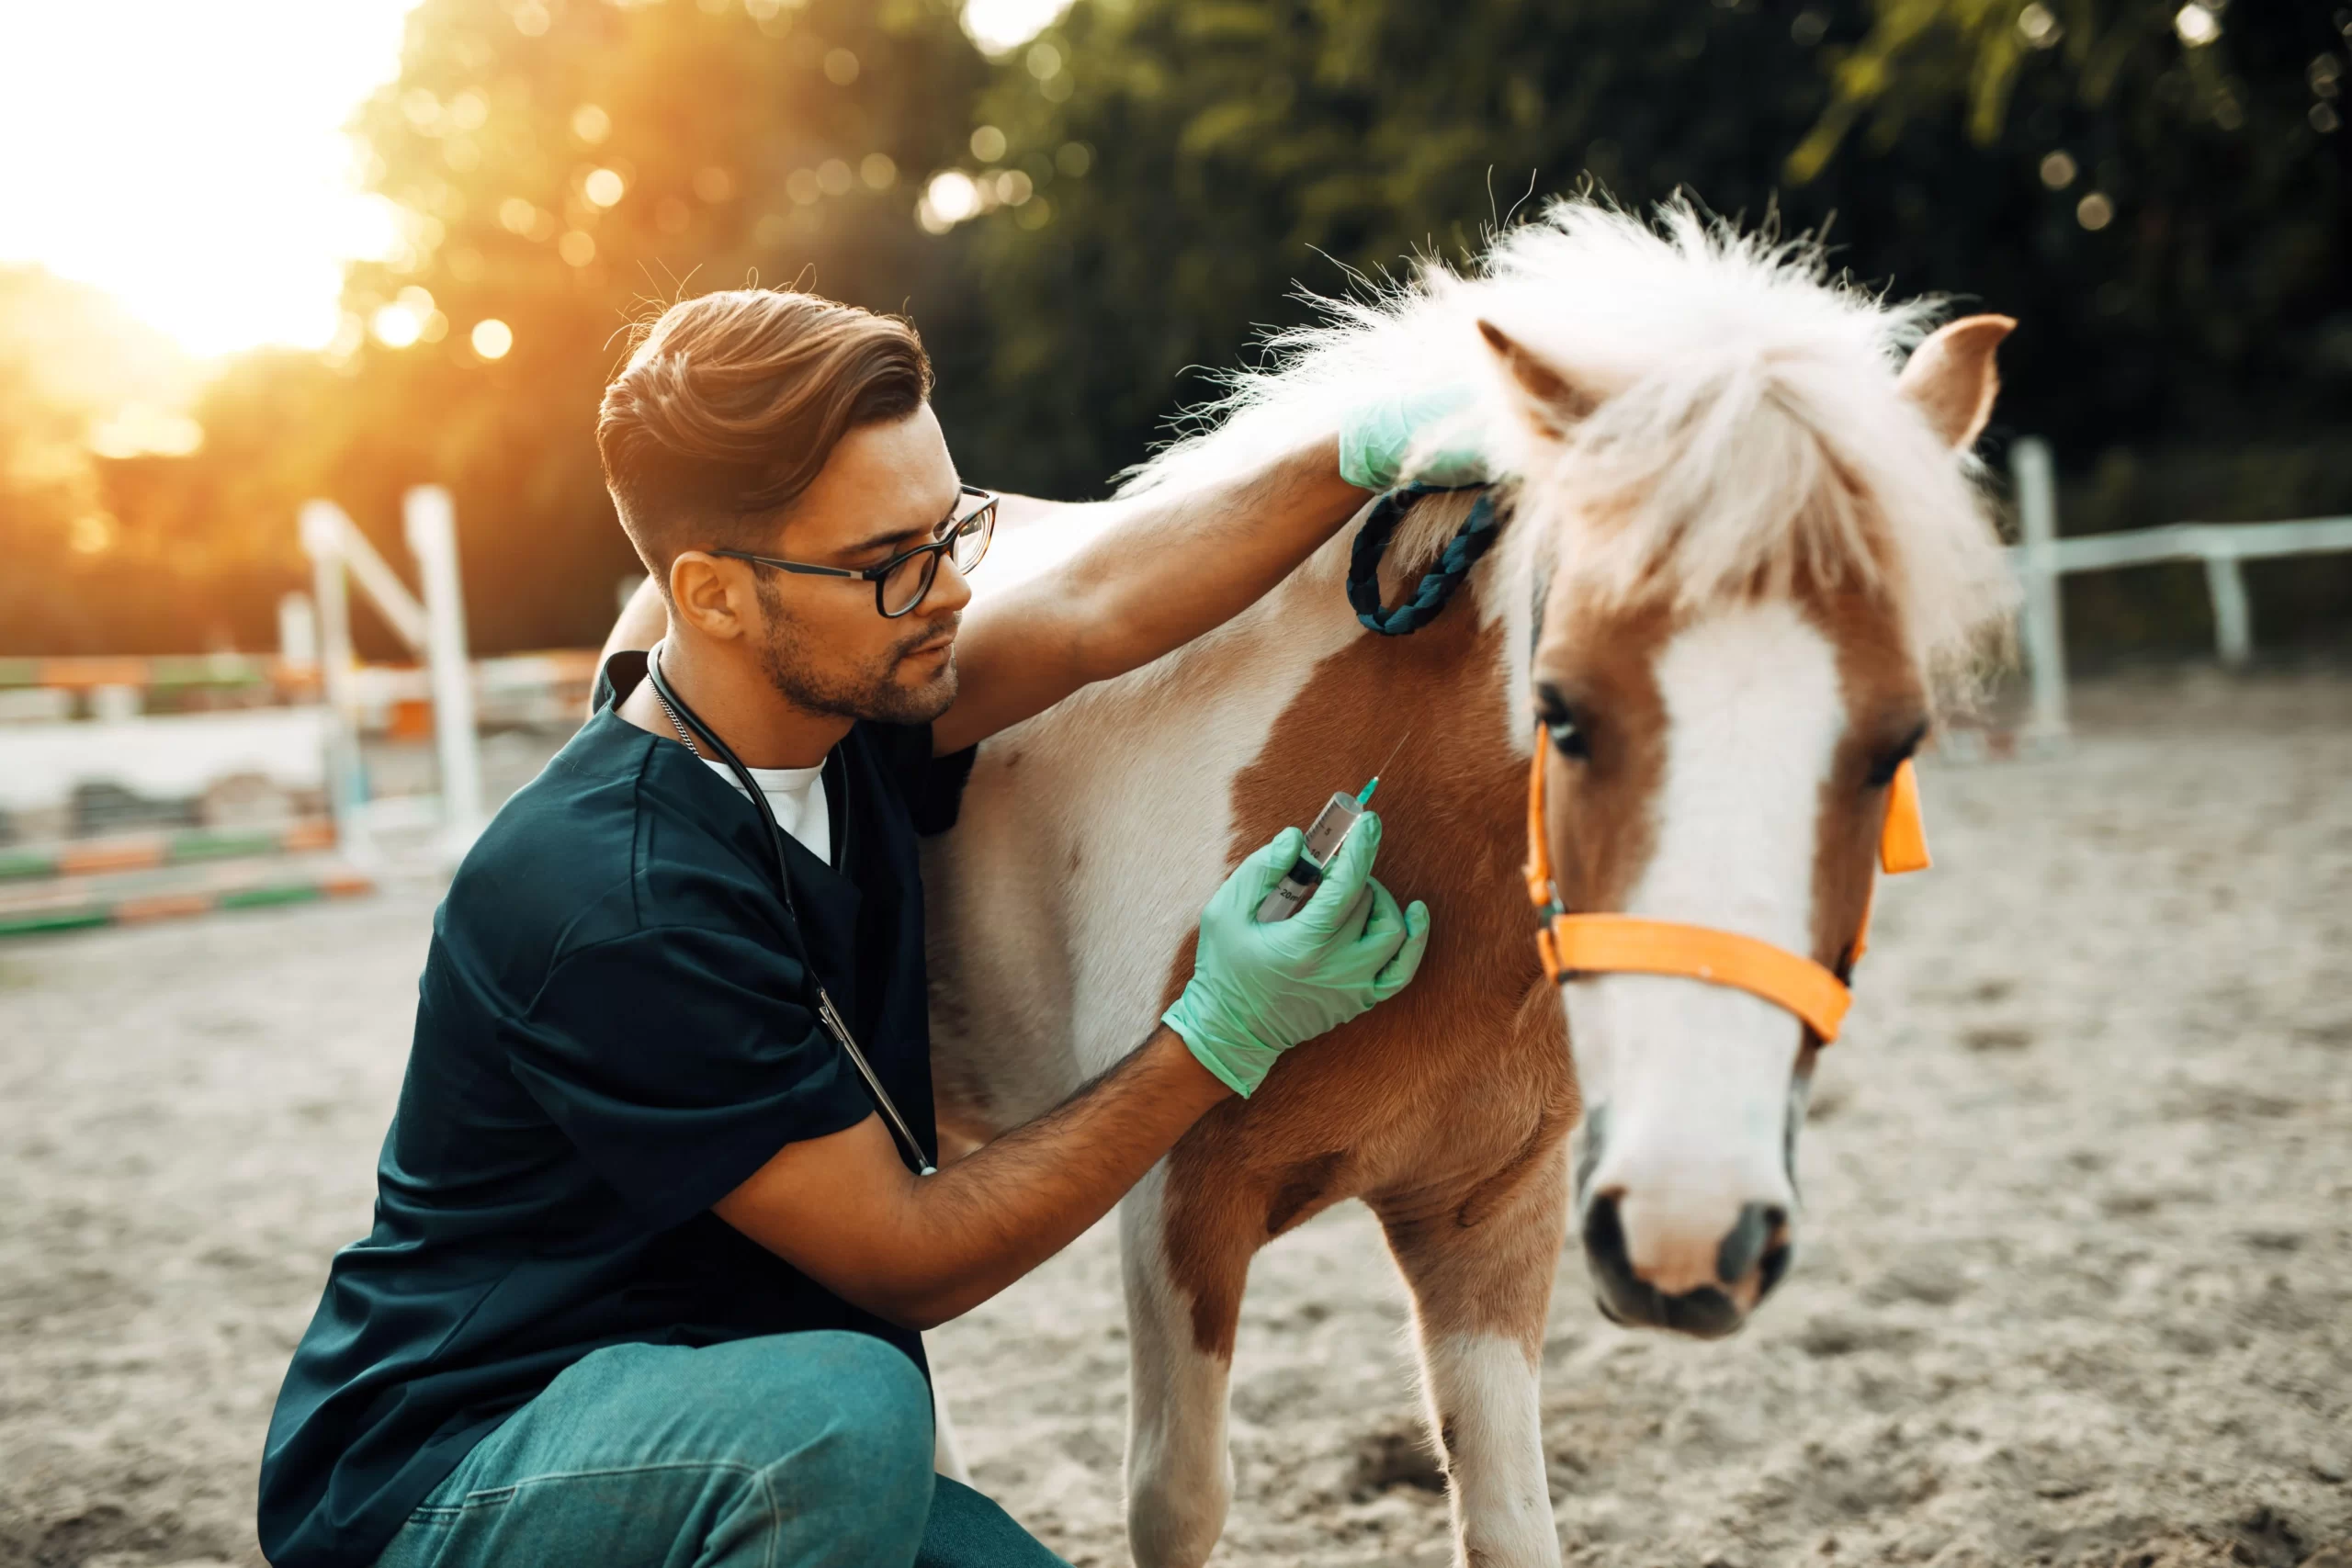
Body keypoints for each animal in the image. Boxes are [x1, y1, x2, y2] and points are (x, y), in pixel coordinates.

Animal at [926, 199, 2013, 1568]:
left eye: (1896, 744)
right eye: (1563, 711)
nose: (1690, 1225)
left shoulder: (1492, 1215)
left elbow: (1508, 1519)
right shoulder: (1172, 1212)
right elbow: (1177, 1499)